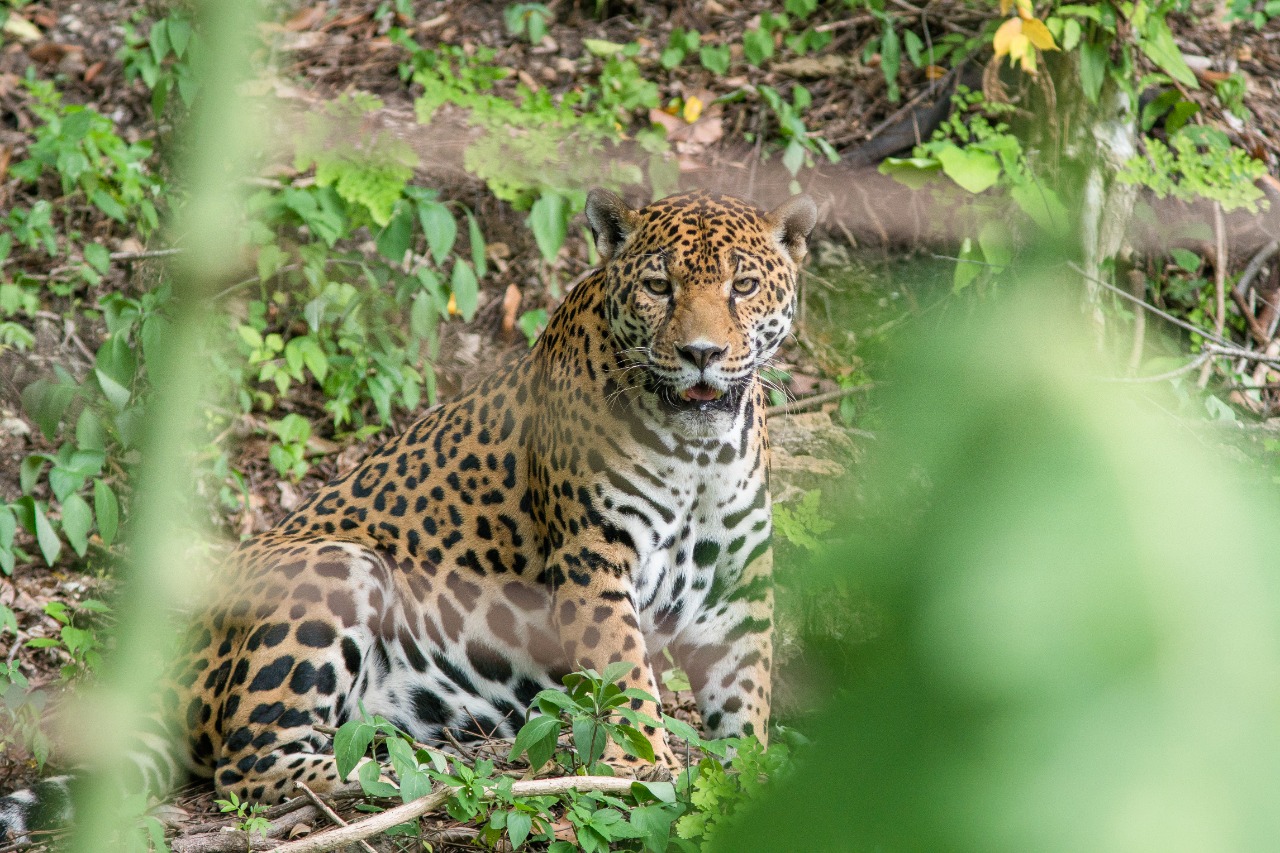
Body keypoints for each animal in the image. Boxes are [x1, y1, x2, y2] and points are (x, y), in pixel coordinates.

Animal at [0, 188, 817, 840]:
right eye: (657, 285)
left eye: (743, 285)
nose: (702, 352)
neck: (698, 451)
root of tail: (168, 668)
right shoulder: (594, 561)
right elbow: (623, 674)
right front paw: (639, 768)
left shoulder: (738, 590)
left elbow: (746, 699)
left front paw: (752, 776)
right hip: (333, 568)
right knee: (252, 764)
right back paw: (403, 774)